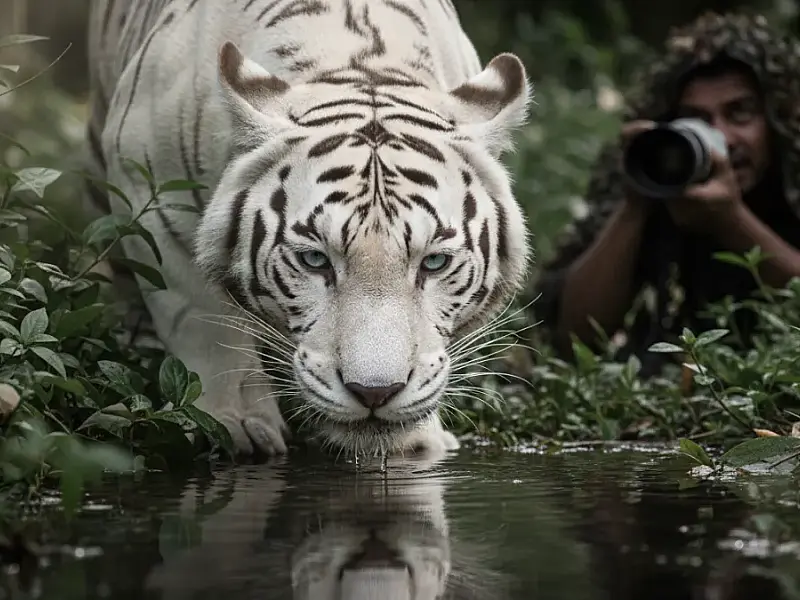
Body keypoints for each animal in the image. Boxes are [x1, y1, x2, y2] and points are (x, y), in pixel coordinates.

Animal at [85, 0, 533, 459]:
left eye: (435, 262)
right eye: (315, 260)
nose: (374, 392)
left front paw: (418, 439)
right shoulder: (153, 192)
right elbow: (205, 322)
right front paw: (237, 424)